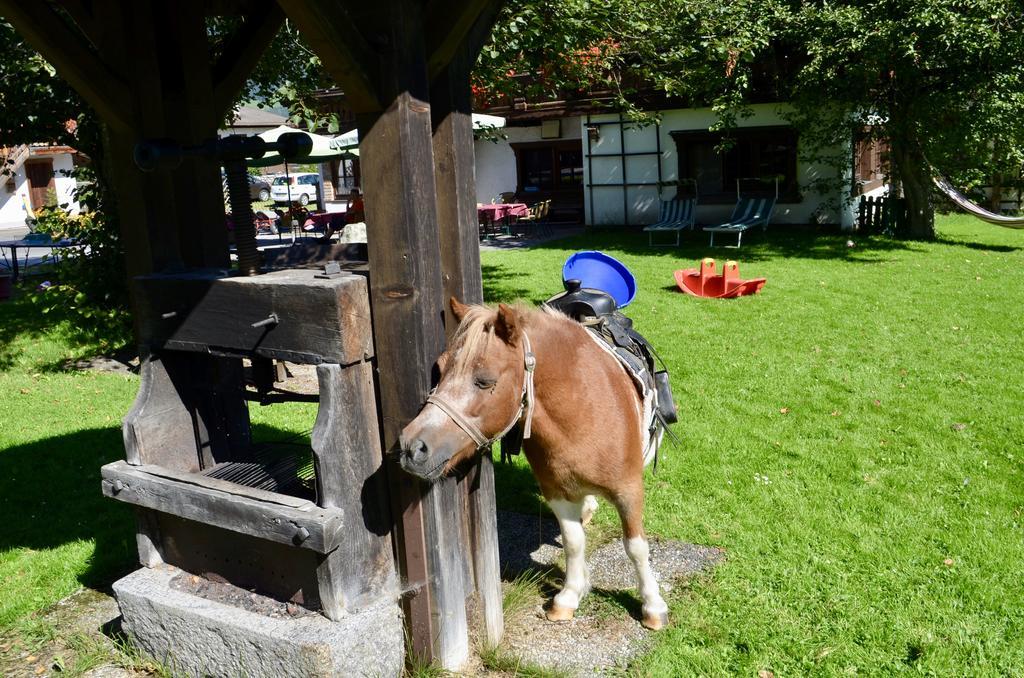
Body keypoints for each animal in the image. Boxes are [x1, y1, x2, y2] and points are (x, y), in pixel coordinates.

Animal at [395, 301, 667, 630]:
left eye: (484, 381)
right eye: (439, 369)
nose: (412, 447)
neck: (583, 410)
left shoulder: (629, 489)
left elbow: (636, 547)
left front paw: (652, 606)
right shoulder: (556, 491)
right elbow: (574, 542)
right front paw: (570, 595)